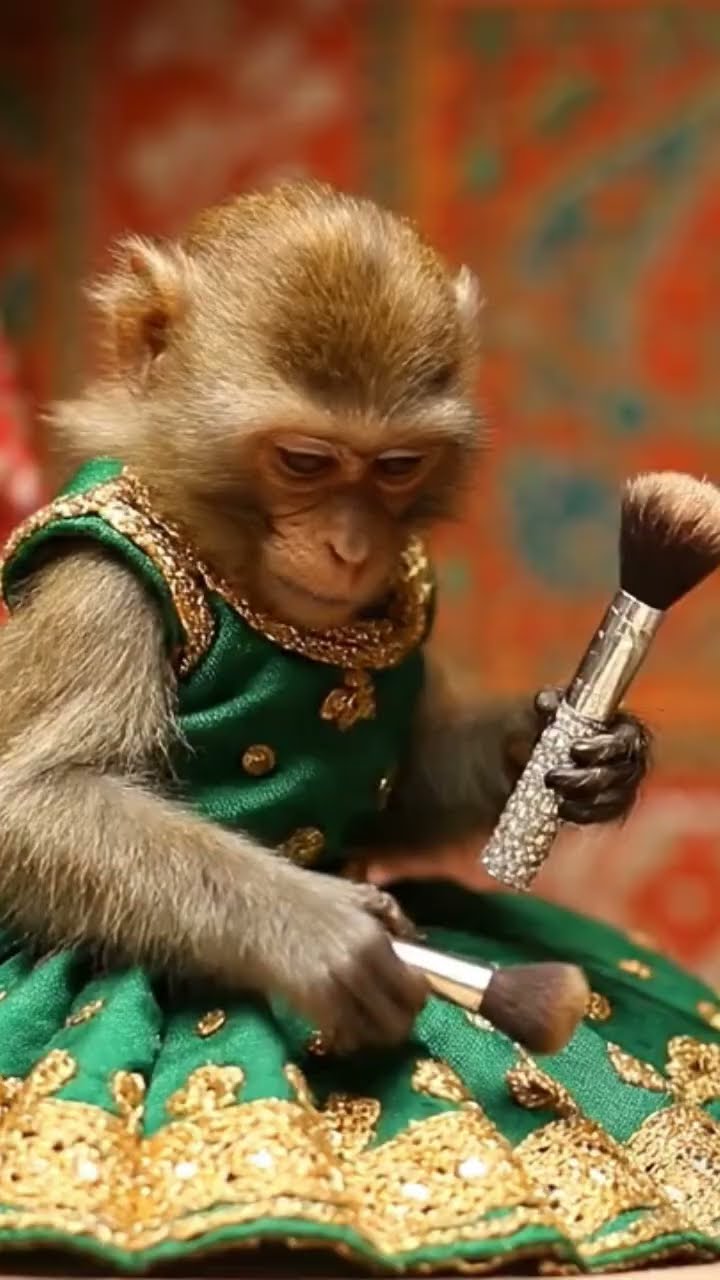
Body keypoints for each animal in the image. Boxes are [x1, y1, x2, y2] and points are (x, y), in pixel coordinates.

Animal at [0, 181, 649, 1056]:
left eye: (398, 466)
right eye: (304, 461)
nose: (350, 546)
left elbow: (407, 785)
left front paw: (580, 746)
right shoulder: (101, 584)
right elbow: (31, 804)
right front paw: (314, 930)